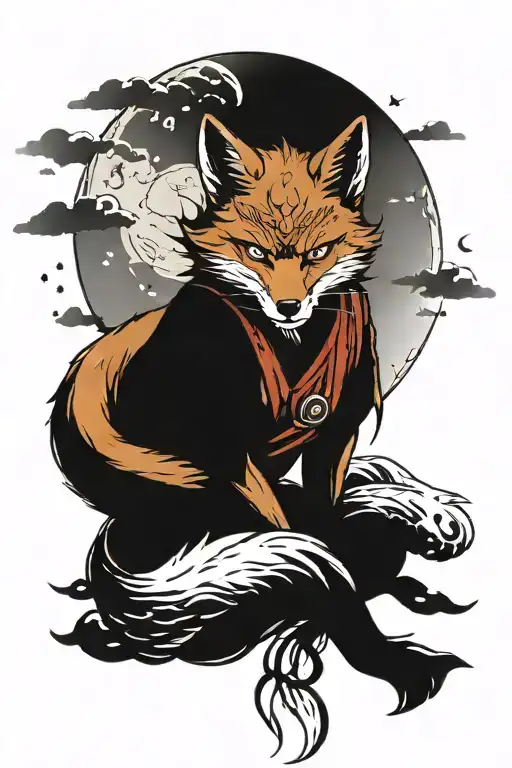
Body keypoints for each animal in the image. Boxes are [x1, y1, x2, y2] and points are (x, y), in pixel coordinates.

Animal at [50, 114, 473, 762]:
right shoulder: (233, 457)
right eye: (254, 253)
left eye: (319, 253)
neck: (288, 347)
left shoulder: (333, 438)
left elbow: (329, 526)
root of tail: (118, 538)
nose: (290, 305)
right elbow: (317, 557)